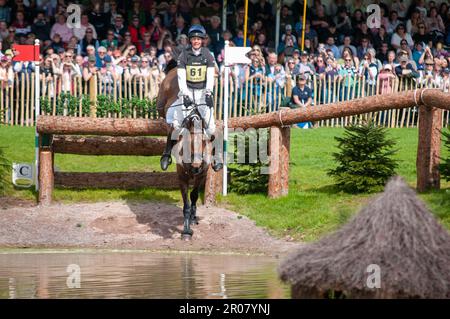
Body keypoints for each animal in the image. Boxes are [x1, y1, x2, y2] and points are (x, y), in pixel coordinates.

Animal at [156, 68, 214, 240]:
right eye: (189, 142)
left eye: (204, 142)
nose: (195, 167)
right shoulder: (182, 177)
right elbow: (186, 203)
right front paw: (186, 230)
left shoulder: (202, 174)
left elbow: (194, 197)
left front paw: (193, 218)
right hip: (163, 106)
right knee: (167, 121)